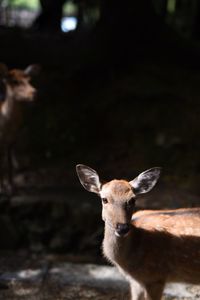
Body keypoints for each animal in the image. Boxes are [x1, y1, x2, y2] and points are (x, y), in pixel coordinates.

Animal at [0, 63, 39, 195]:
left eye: (29, 80)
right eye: (15, 82)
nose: (34, 93)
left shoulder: (12, 141)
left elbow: (9, 164)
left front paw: (12, 188)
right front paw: (3, 189)